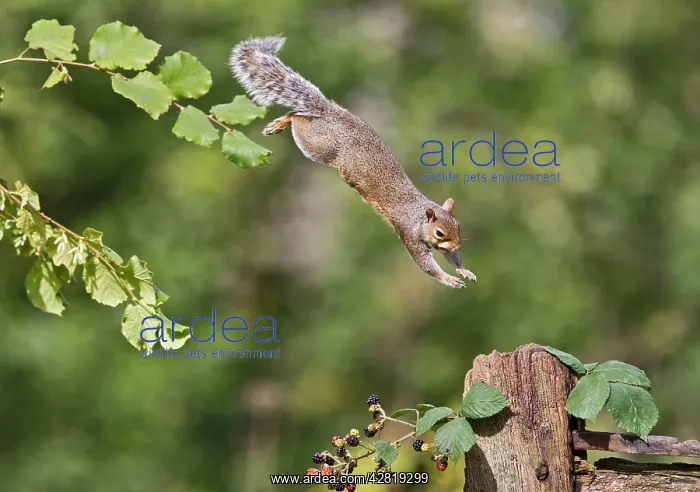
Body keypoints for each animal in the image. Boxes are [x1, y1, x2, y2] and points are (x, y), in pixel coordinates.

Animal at [229, 36, 476, 289]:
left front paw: (463, 269)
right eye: (439, 233)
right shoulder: (409, 233)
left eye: (458, 226)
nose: (458, 245)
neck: (420, 217)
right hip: (317, 146)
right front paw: (449, 279)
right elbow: (426, 266)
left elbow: (450, 259)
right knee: (296, 117)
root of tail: (329, 111)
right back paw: (282, 122)